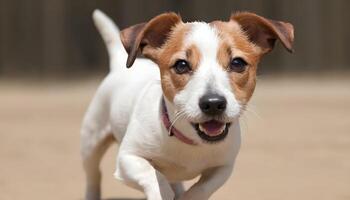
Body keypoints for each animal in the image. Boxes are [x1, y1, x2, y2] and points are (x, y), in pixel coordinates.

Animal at [80, 9, 294, 200]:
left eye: (238, 63)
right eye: (181, 65)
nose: (213, 103)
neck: (190, 141)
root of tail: (118, 62)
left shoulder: (224, 167)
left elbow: (202, 188)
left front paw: (187, 196)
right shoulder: (128, 158)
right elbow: (154, 177)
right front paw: (162, 192)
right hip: (91, 143)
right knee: (94, 175)